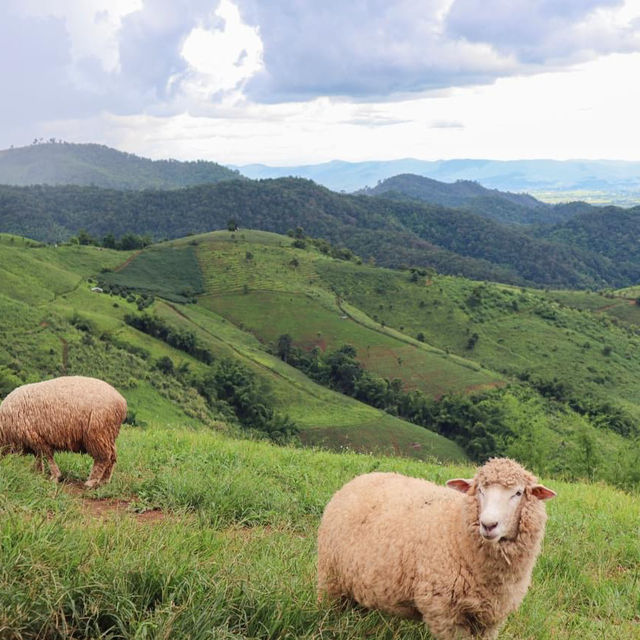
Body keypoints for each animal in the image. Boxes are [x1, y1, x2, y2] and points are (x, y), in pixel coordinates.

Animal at [318, 458, 556, 636]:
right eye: (480, 490)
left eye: (518, 493)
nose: (488, 524)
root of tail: (358, 479)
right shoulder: (444, 612)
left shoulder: (490, 618)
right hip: (330, 578)